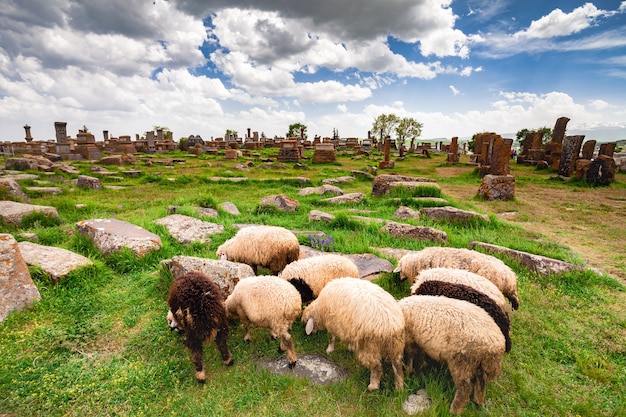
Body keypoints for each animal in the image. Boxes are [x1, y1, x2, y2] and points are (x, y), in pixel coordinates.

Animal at [392, 247, 520, 308]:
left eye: (400, 270)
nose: (400, 279)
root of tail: (510, 276)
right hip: (508, 291)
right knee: (514, 297)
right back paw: (515, 305)